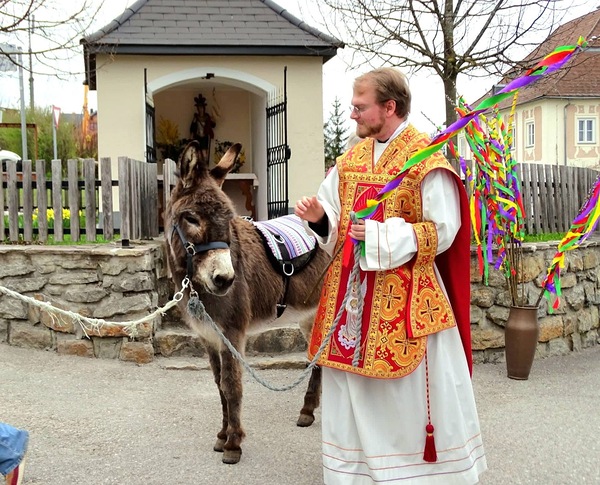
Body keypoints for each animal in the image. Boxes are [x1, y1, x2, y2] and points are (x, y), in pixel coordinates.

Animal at [164, 140, 330, 464]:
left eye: (229, 219)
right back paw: (307, 411)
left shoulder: (232, 333)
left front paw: (233, 444)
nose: (225, 280)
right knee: (317, 359)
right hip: (309, 315)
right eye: (191, 218)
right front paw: (221, 435)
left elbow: (232, 386)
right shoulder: (209, 337)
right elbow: (219, 386)